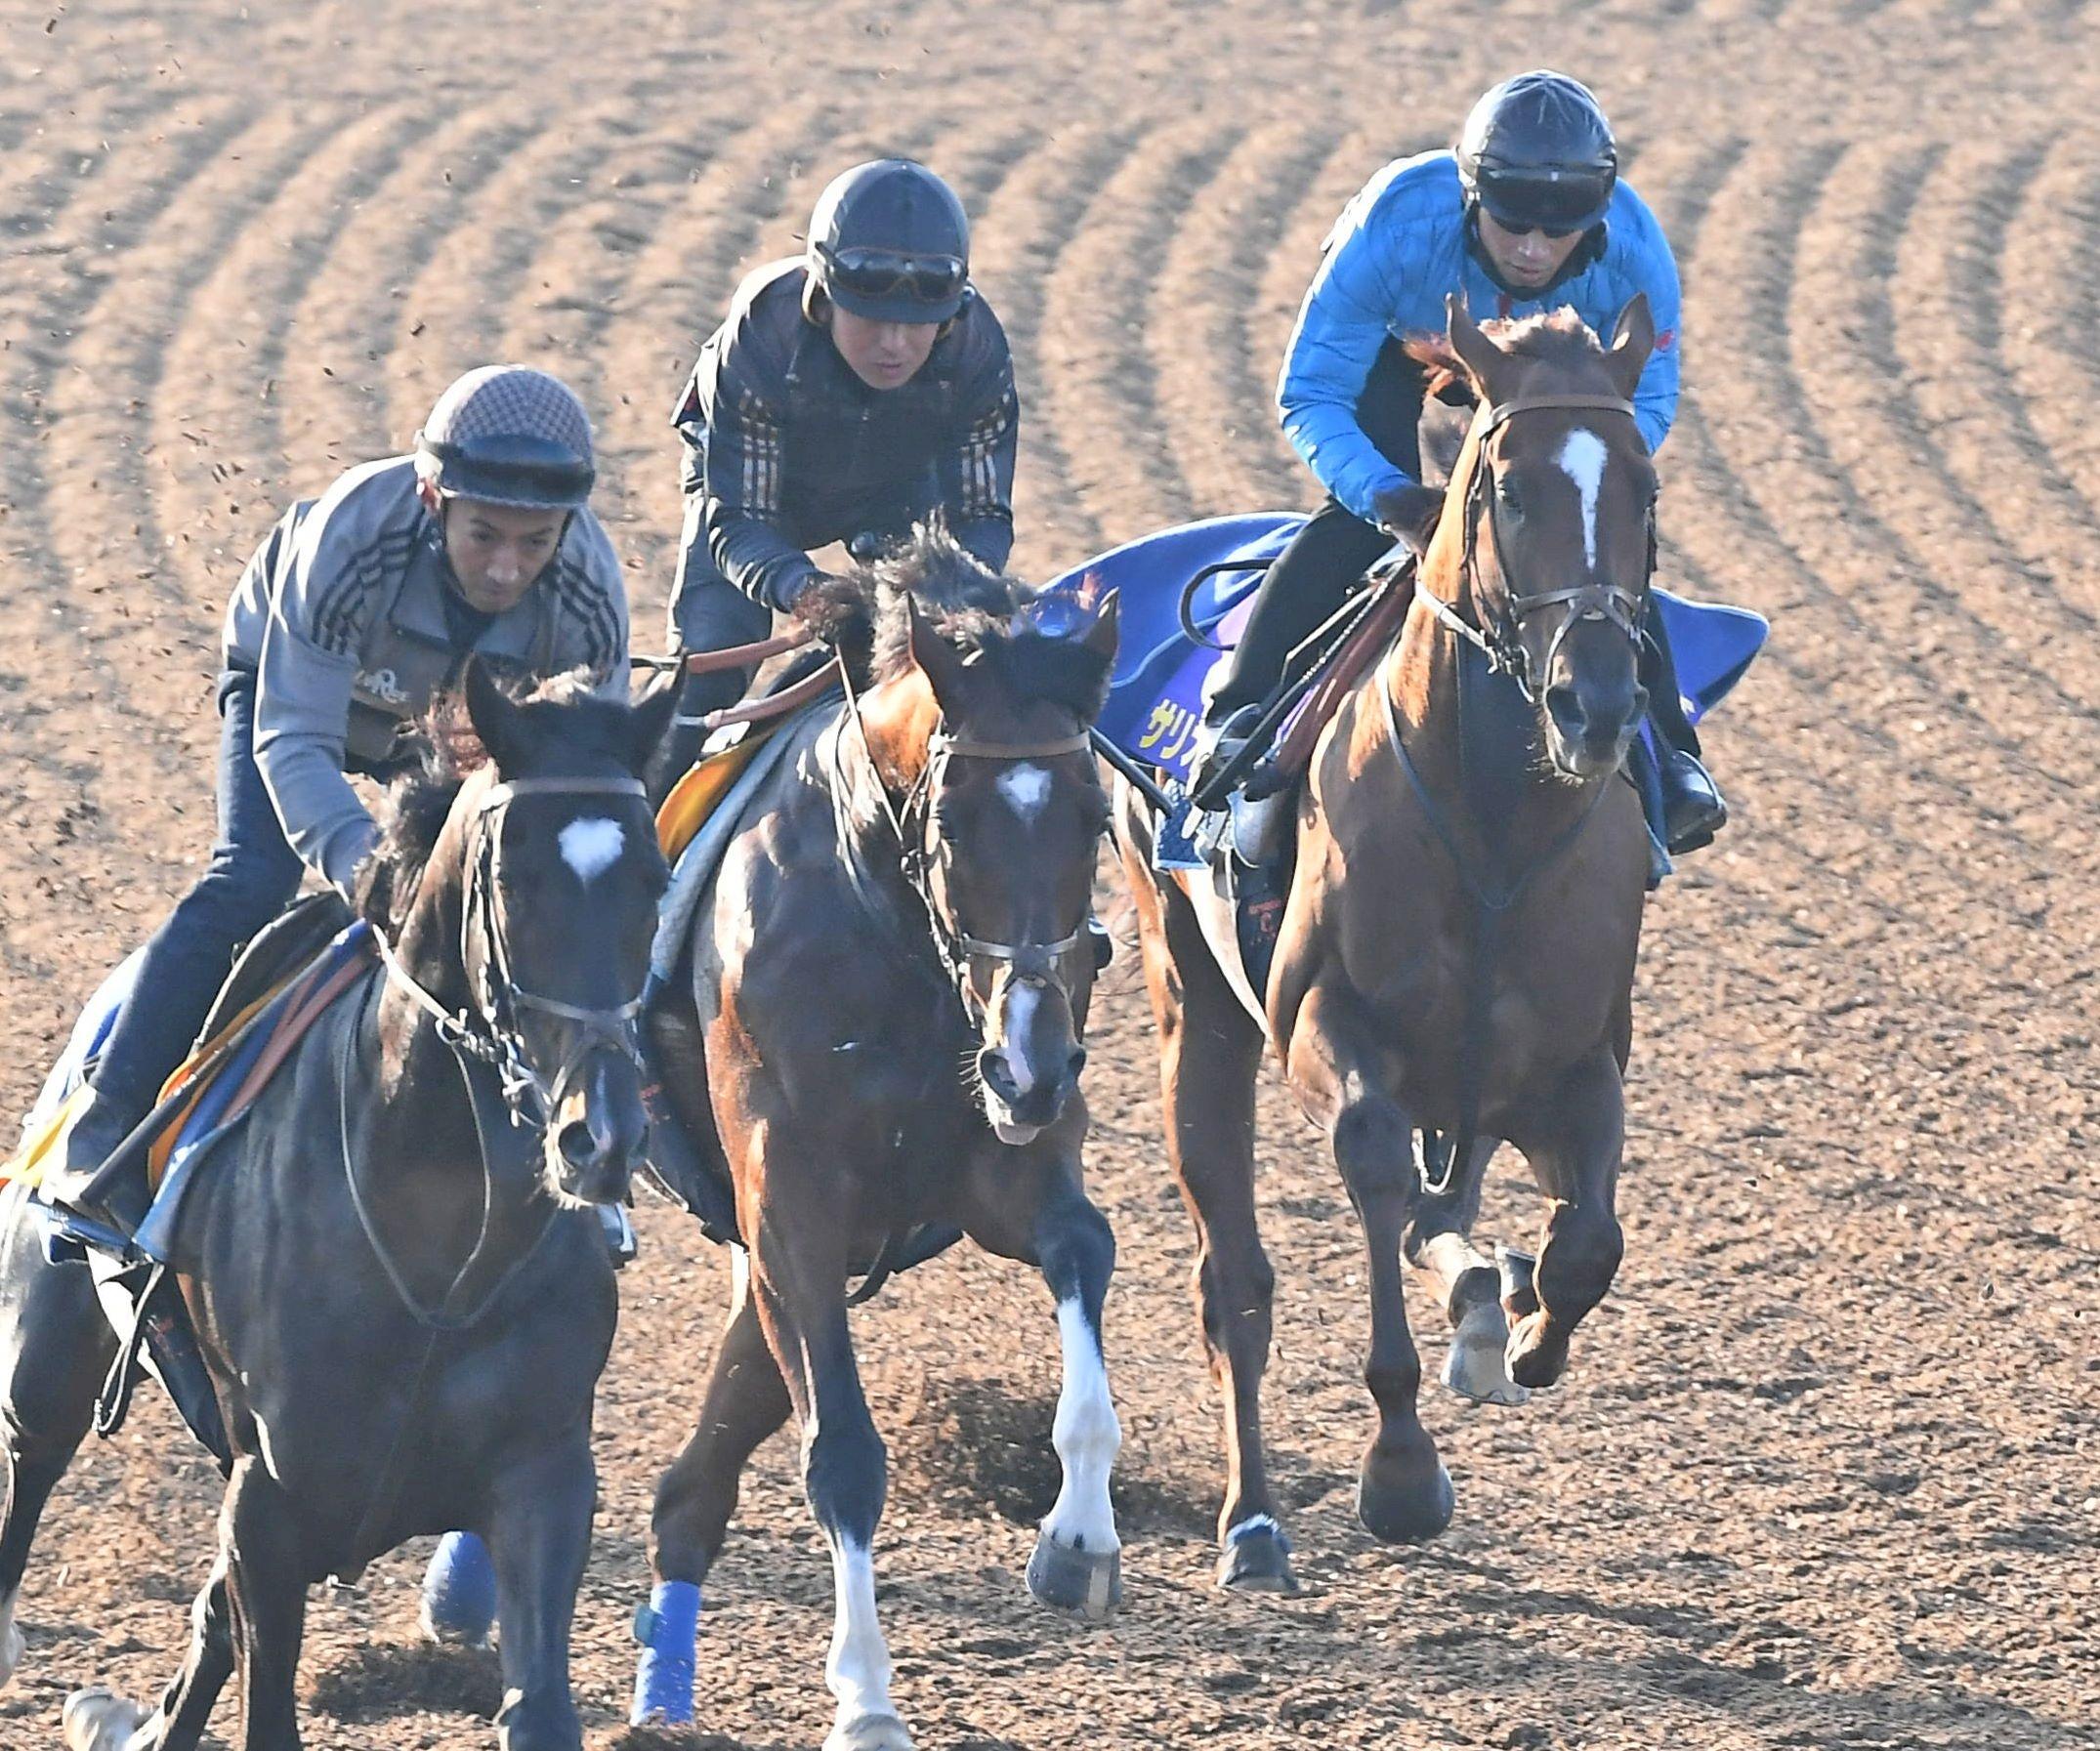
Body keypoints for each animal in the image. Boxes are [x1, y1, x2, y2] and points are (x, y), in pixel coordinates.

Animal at [0, 659, 667, 1746]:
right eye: (513, 882)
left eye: (652, 881)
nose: (600, 1135)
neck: (445, 1247)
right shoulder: (271, 1496)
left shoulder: (544, 1472)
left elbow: (538, 1705)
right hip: (48, 1356)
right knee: (30, 1472)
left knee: (208, 1622)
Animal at [630, 524, 1125, 1738]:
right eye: (950, 822)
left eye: (1094, 818)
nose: (1029, 1060)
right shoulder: (793, 1206)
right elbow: (843, 1454)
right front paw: (863, 1697)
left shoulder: (999, 1167)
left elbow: (1082, 1247)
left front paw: (1078, 1532)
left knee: (697, 1476)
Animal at [1116, 296, 1655, 1578]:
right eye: (1506, 487)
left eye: (1644, 483)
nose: (1596, 704)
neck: (1495, 827)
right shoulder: (1327, 1027)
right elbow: (1370, 1169)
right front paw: (1402, 1467)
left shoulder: (1574, 1062)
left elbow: (1584, 1243)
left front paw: (1522, 1330)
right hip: (1191, 1004)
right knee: (1235, 1282)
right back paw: (1253, 1521)